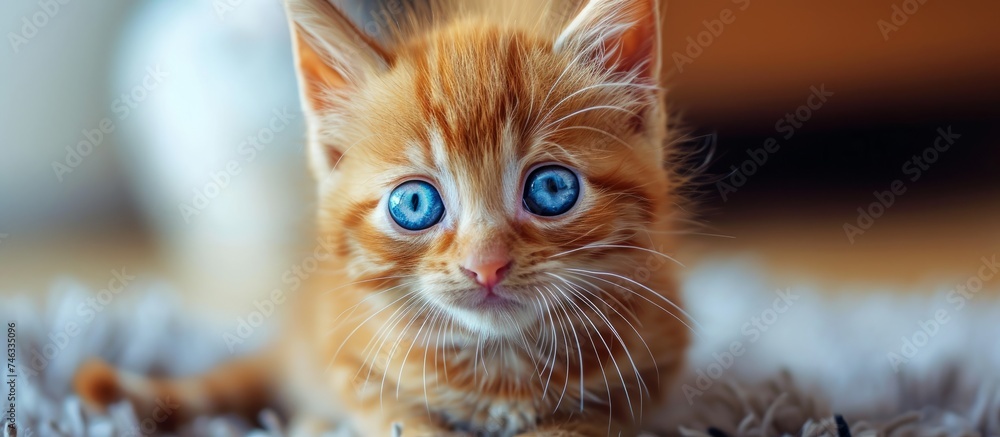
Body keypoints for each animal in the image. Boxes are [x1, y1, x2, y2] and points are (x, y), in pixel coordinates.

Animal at [74, 0, 692, 432]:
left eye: (552, 188)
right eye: (414, 204)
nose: (486, 265)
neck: (500, 368)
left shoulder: (649, 373)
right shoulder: (348, 361)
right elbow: (393, 414)